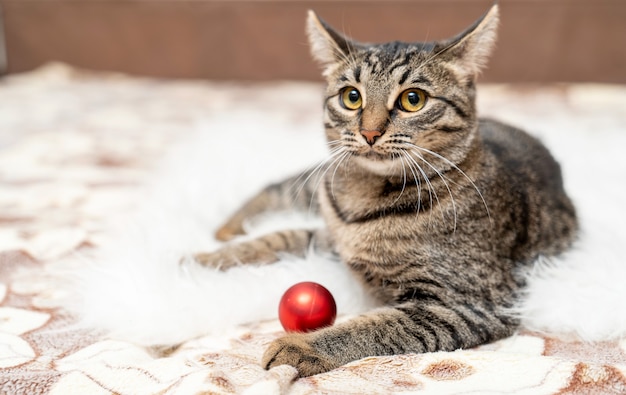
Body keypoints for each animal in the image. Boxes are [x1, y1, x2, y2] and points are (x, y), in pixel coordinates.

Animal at [194, 4, 576, 378]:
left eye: (413, 99)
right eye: (351, 97)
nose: (369, 132)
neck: (365, 199)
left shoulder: (470, 303)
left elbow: (376, 327)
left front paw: (301, 347)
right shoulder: (332, 237)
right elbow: (279, 237)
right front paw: (203, 261)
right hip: (317, 180)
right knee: (276, 188)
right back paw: (226, 230)